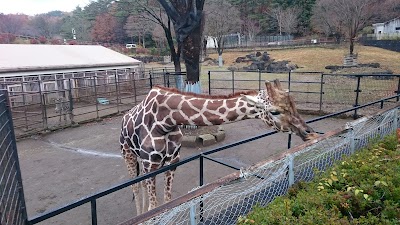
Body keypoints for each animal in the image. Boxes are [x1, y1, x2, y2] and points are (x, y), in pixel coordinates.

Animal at [119, 79, 318, 214]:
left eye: (294, 104)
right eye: (275, 111)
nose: (310, 133)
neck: (167, 120)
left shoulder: (173, 162)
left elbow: (167, 203)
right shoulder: (150, 163)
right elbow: (154, 208)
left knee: (141, 185)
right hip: (129, 155)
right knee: (135, 186)